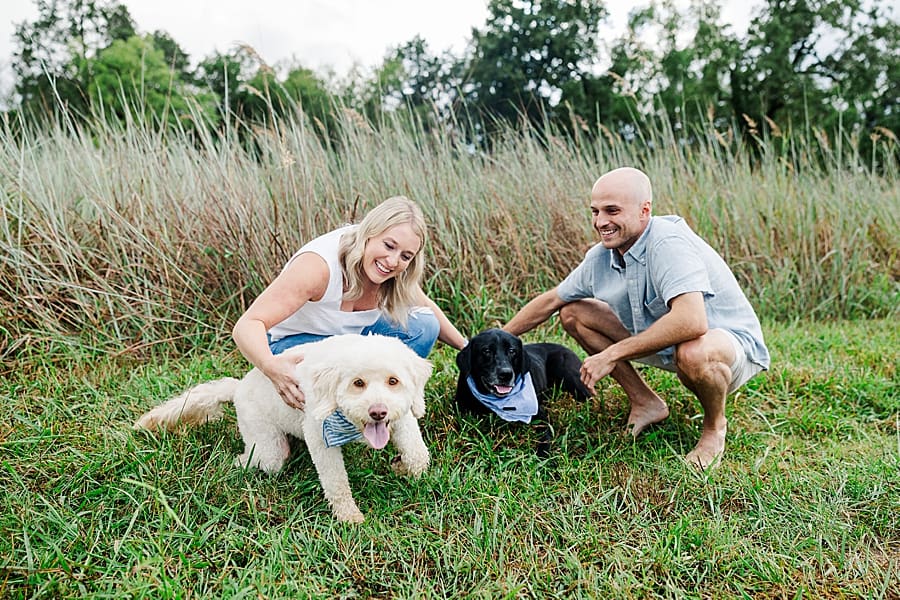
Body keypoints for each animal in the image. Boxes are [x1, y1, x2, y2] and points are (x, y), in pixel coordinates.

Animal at [133, 336, 436, 524]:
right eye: (357, 383)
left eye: (393, 381)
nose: (378, 412)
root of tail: (238, 388)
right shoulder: (319, 437)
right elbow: (336, 482)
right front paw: (348, 517)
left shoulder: (402, 418)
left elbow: (419, 455)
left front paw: (404, 468)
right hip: (268, 449)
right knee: (251, 458)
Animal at [454, 328, 596, 454]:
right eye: (486, 350)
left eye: (512, 351)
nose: (506, 374)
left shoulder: (541, 415)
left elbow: (545, 437)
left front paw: (542, 456)